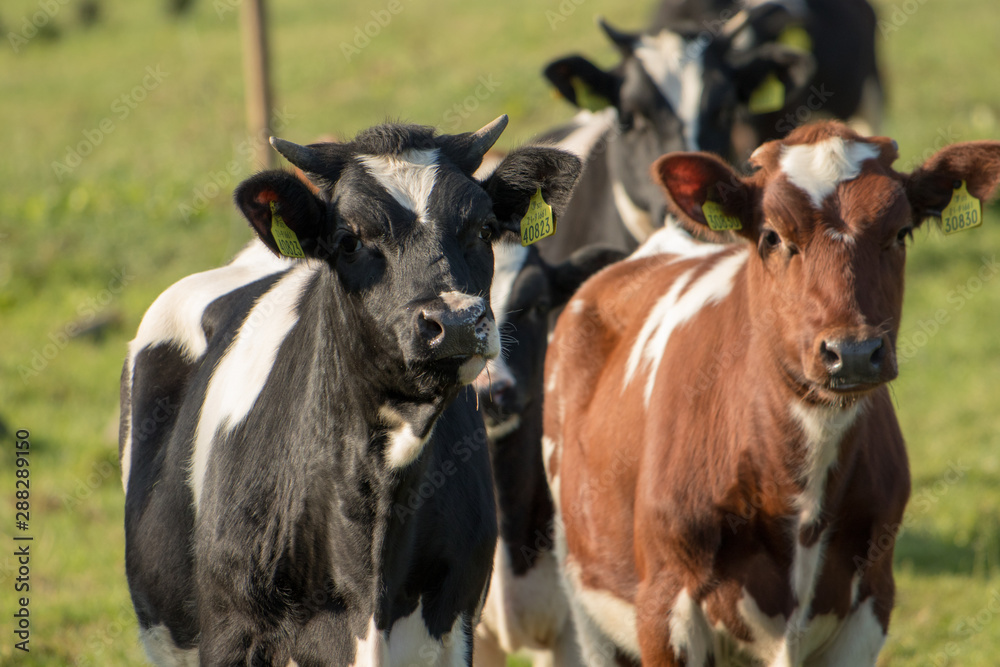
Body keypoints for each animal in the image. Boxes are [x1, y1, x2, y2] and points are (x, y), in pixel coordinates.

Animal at [544, 121, 1000, 667]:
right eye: (773, 236)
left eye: (900, 233)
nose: (852, 352)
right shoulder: (663, 608)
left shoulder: (871, 601)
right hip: (585, 600)